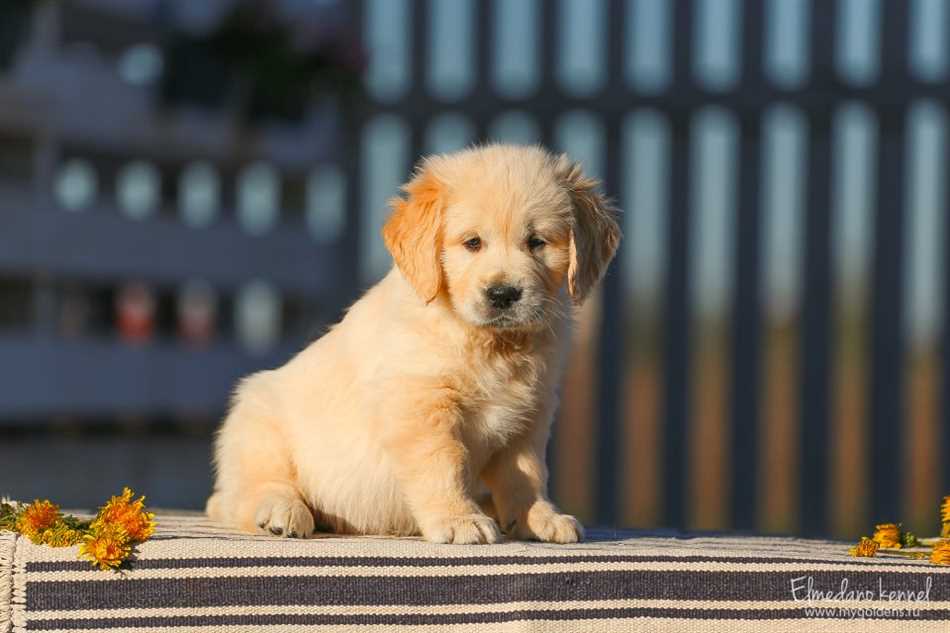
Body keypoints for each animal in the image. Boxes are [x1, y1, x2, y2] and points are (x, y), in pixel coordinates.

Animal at [207, 144, 620, 544]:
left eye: (537, 243)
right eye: (472, 242)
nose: (503, 294)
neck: (489, 342)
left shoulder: (530, 413)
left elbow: (528, 472)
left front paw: (540, 517)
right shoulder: (422, 404)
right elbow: (443, 463)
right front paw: (459, 519)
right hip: (259, 426)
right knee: (245, 493)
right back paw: (280, 511)